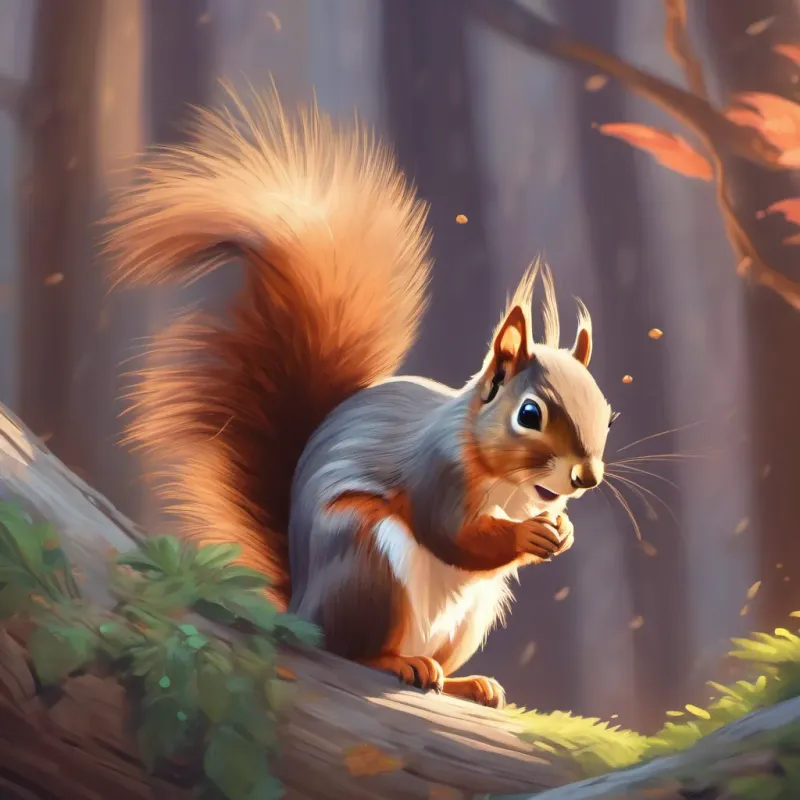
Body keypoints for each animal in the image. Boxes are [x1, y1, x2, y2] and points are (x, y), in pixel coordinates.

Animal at [105, 87, 615, 709]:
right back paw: (402, 663)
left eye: (607, 415)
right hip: (367, 558)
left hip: (472, 614)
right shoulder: (437, 473)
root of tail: (302, 606)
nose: (587, 477)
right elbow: (452, 534)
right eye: (529, 413)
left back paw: (470, 683)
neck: (504, 478)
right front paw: (527, 534)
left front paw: (561, 530)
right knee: (348, 650)